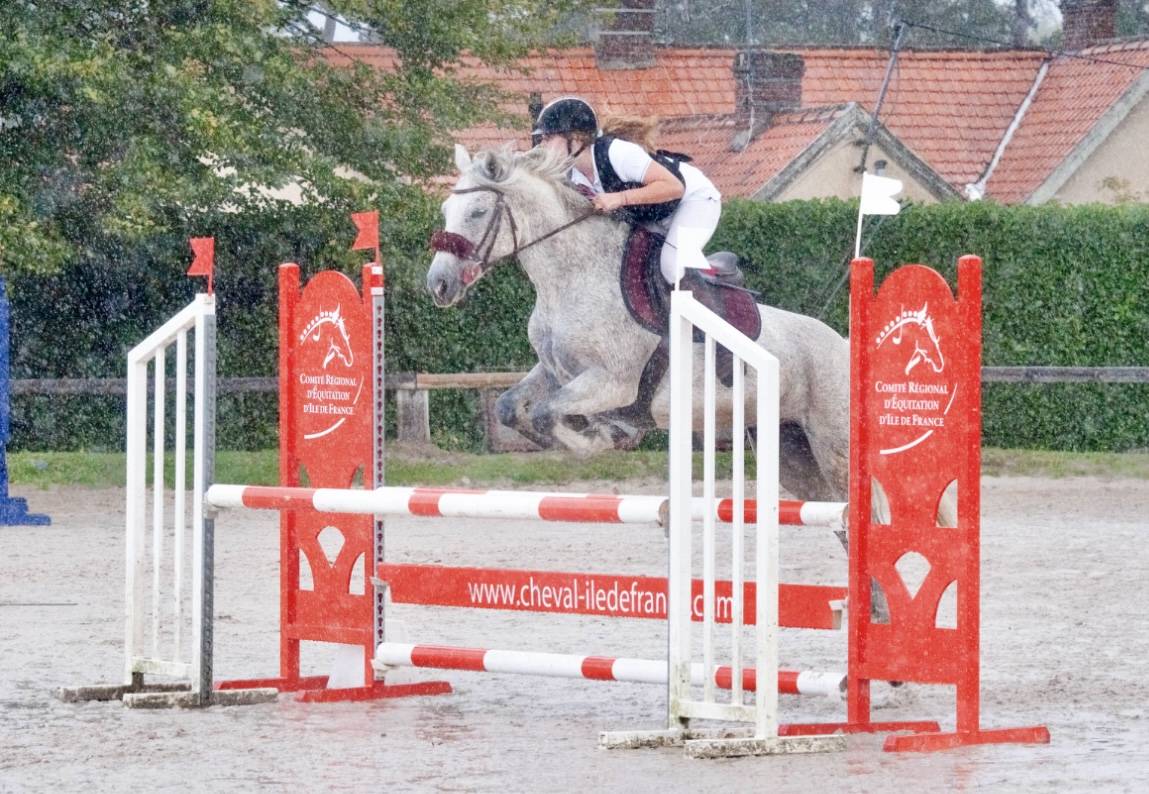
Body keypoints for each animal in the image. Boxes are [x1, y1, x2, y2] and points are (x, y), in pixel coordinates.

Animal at [425, 143, 862, 507]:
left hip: (833, 442)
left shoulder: (612, 381)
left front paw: (607, 436)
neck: (573, 277)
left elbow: (546, 414)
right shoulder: (554, 371)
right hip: (789, 447)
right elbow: (510, 409)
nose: (438, 284)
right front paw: (603, 432)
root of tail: (841, 344)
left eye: (478, 212)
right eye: (445, 211)